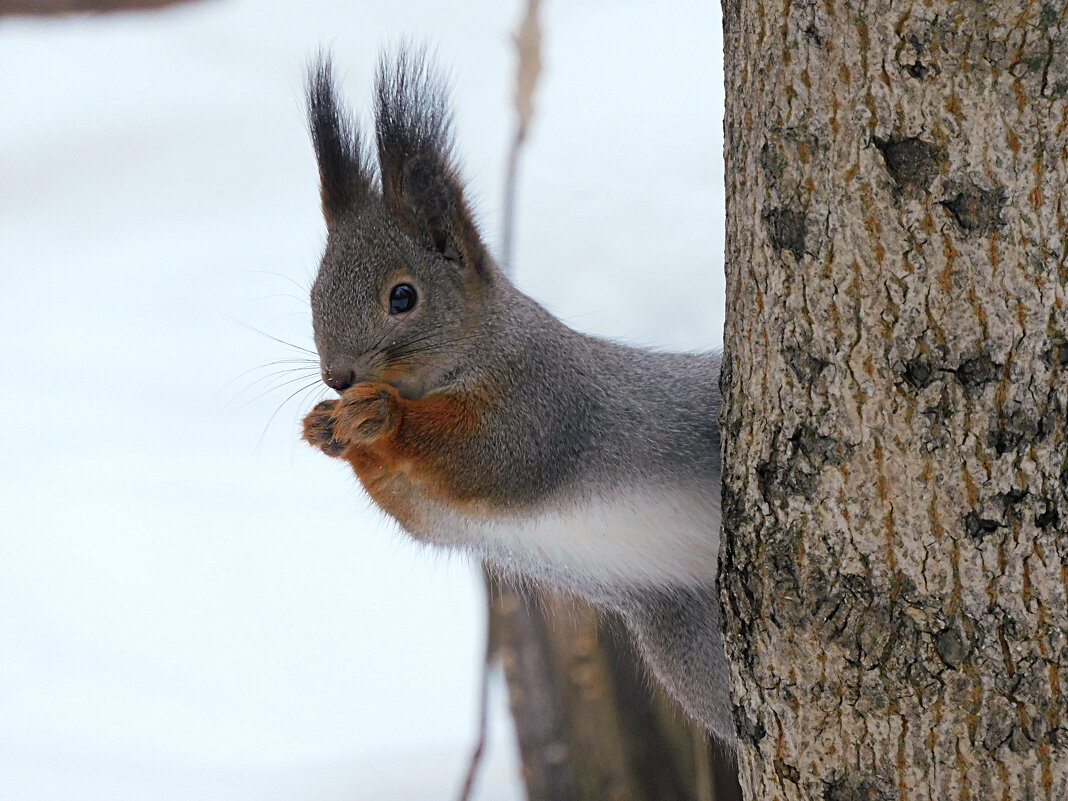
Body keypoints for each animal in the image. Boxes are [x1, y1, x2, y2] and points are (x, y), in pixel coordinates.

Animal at [301, 53, 734, 751]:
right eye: (314, 293)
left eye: (403, 297)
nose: (339, 378)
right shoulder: (439, 510)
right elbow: (418, 510)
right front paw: (329, 431)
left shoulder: (540, 397)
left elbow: (491, 458)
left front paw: (380, 416)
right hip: (692, 650)